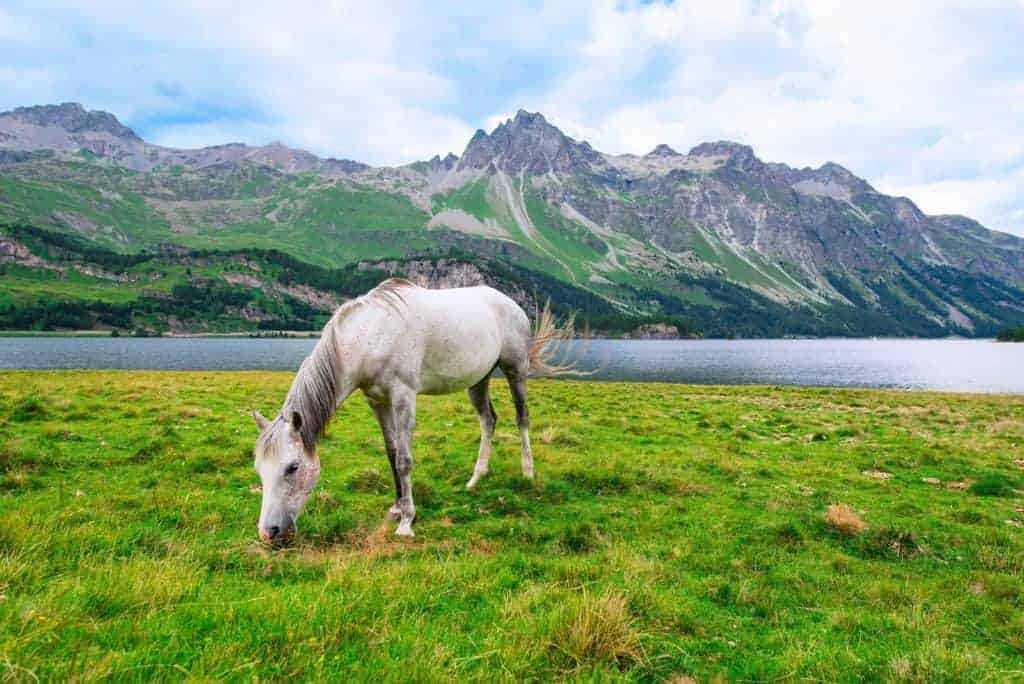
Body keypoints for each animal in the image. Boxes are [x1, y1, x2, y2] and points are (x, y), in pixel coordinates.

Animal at [250, 278, 573, 541]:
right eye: (259, 468)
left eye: (292, 467)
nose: (269, 533)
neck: (373, 333)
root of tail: (511, 304)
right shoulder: (377, 401)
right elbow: (391, 453)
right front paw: (397, 507)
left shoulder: (403, 396)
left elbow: (405, 459)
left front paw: (407, 521)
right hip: (478, 380)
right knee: (488, 420)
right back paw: (475, 478)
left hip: (515, 370)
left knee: (522, 417)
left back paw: (528, 472)